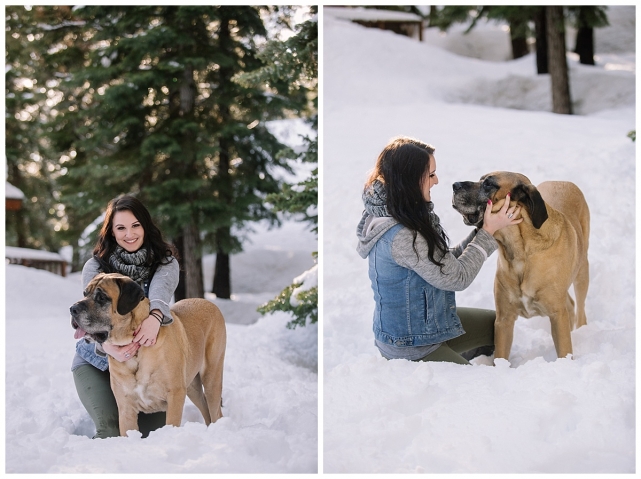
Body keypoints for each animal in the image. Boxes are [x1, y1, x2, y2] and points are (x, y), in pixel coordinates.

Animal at [69, 274, 225, 436]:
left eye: (101, 297)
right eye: (85, 293)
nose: (72, 309)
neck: (135, 351)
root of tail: (208, 302)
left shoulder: (175, 395)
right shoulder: (126, 408)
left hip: (211, 376)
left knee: (215, 411)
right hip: (192, 386)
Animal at [452, 172, 588, 360]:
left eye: (488, 184)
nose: (454, 185)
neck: (519, 251)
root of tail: (562, 181)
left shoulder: (557, 315)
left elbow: (564, 350)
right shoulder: (504, 320)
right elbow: (500, 356)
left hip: (582, 273)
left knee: (580, 307)